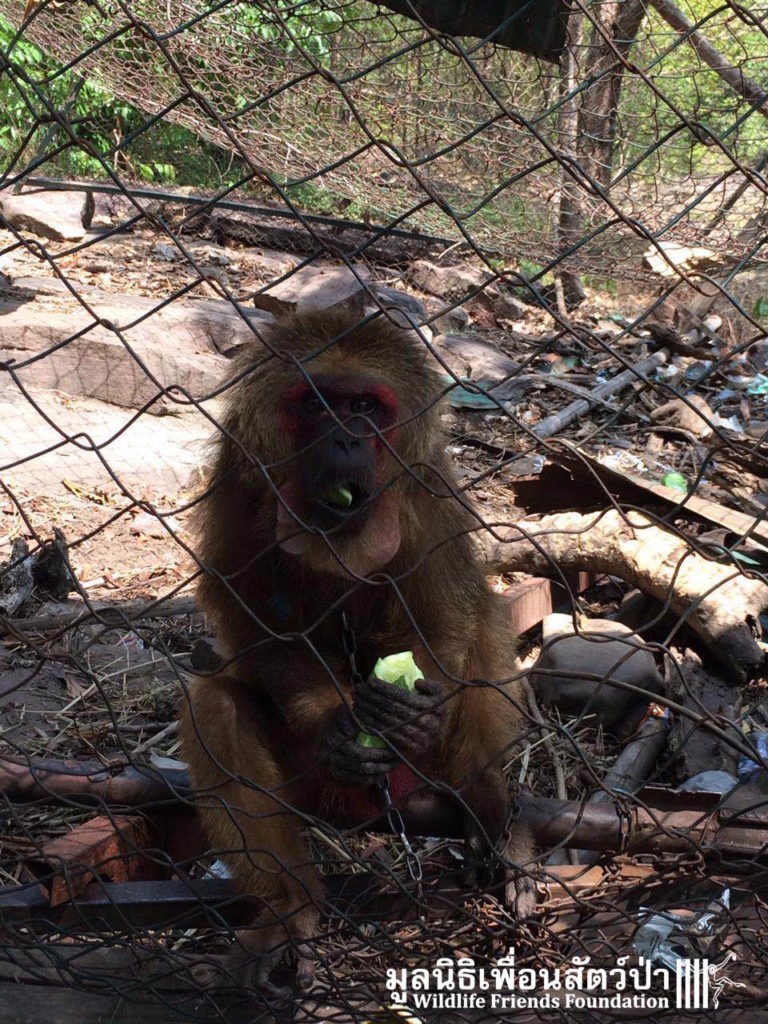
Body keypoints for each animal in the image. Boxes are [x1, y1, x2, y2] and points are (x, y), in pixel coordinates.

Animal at [179, 308, 534, 991]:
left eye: (365, 407)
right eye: (319, 407)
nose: (346, 439)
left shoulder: (425, 489)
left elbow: (447, 620)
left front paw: (411, 717)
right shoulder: (241, 476)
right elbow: (254, 629)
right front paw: (339, 727)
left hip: (416, 776)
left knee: (484, 626)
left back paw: (486, 806)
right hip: (313, 788)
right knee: (217, 706)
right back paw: (291, 907)